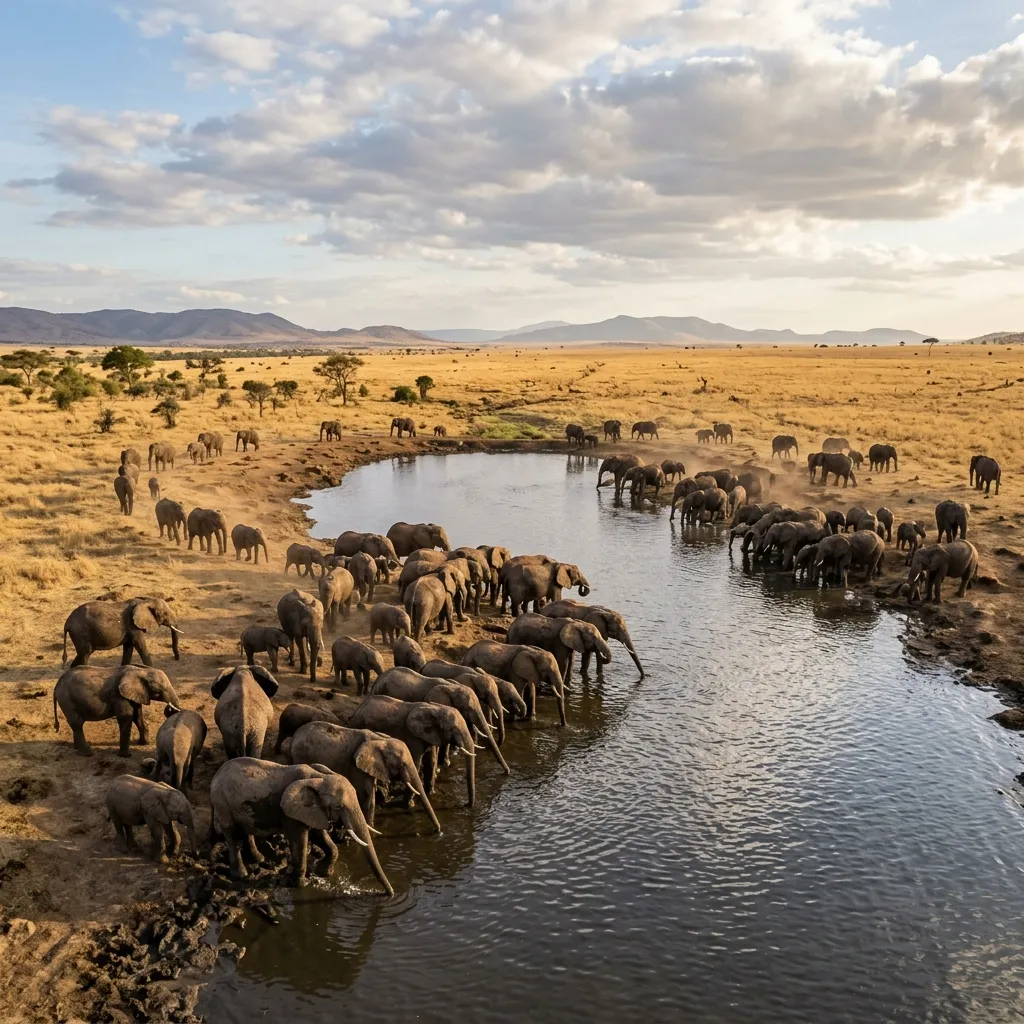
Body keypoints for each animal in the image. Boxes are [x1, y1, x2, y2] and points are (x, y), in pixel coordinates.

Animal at [53, 664, 182, 756]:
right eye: (158, 690)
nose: (169, 707)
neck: (139, 671)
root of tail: (56, 686)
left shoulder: (135, 695)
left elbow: (137, 717)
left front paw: (144, 744)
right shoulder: (119, 696)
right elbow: (126, 719)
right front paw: (126, 755)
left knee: (76, 724)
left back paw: (77, 749)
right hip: (67, 700)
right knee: (77, 723)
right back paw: (87, 754)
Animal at [210, 758, 392, 891]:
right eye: (339, 807)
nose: (389, 894)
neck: (319, 777)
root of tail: (216, 775)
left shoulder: (314, 809)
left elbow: (320, 836)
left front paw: (324, 873)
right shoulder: (288, 811)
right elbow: (300, 839)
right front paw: (299, 885)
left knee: (246, 830)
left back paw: (259, 859)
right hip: (222, 803)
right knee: (232, 835)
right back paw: (240, 875)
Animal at [290, 720, 440, 832]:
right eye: (402, 763)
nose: (438, 831)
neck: (380, 740)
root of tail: (294, 736)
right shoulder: (356, 766)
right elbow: (366, 794)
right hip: (301, 755)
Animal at [348, 695, 478, 807]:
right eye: (453, 729)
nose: (467, 805)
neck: (435, 708)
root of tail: (358, 709)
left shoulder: (429, 735)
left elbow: (431, 762)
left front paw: (431, 794)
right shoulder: (412, 736)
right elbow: (416, 763)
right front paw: (410, 805)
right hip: (359, 724)